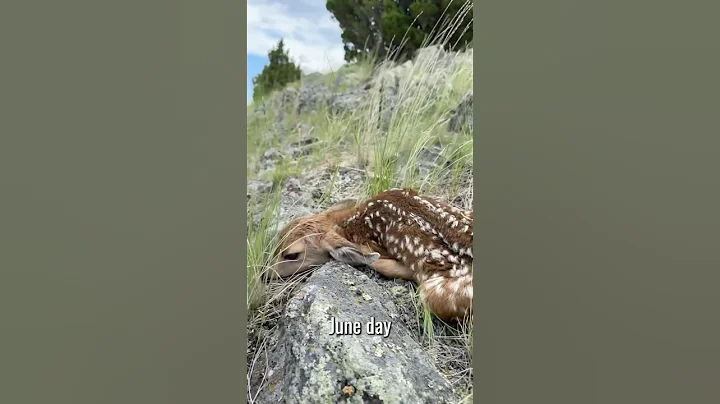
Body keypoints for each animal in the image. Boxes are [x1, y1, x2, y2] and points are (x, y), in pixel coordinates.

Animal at [269, 188, 473, 322]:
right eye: (278, 238)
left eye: (291, 255)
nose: (266, 273)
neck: (350, 224)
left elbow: (377, 262)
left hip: (435, 294)